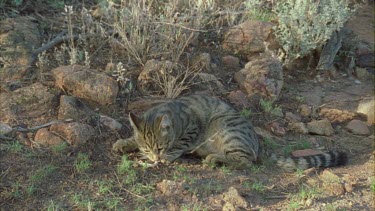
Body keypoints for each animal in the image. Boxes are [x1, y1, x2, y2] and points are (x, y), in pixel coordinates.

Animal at [113, 95, 348, 171]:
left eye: (161, 147)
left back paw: (212, 158)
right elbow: (132, 140)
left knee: (245, 161)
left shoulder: (193, 128)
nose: (155, 157)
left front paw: (167, 156)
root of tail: (257, 141)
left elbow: (180, 144)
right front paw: (124, 143)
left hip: (226, 129)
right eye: (147, 149)